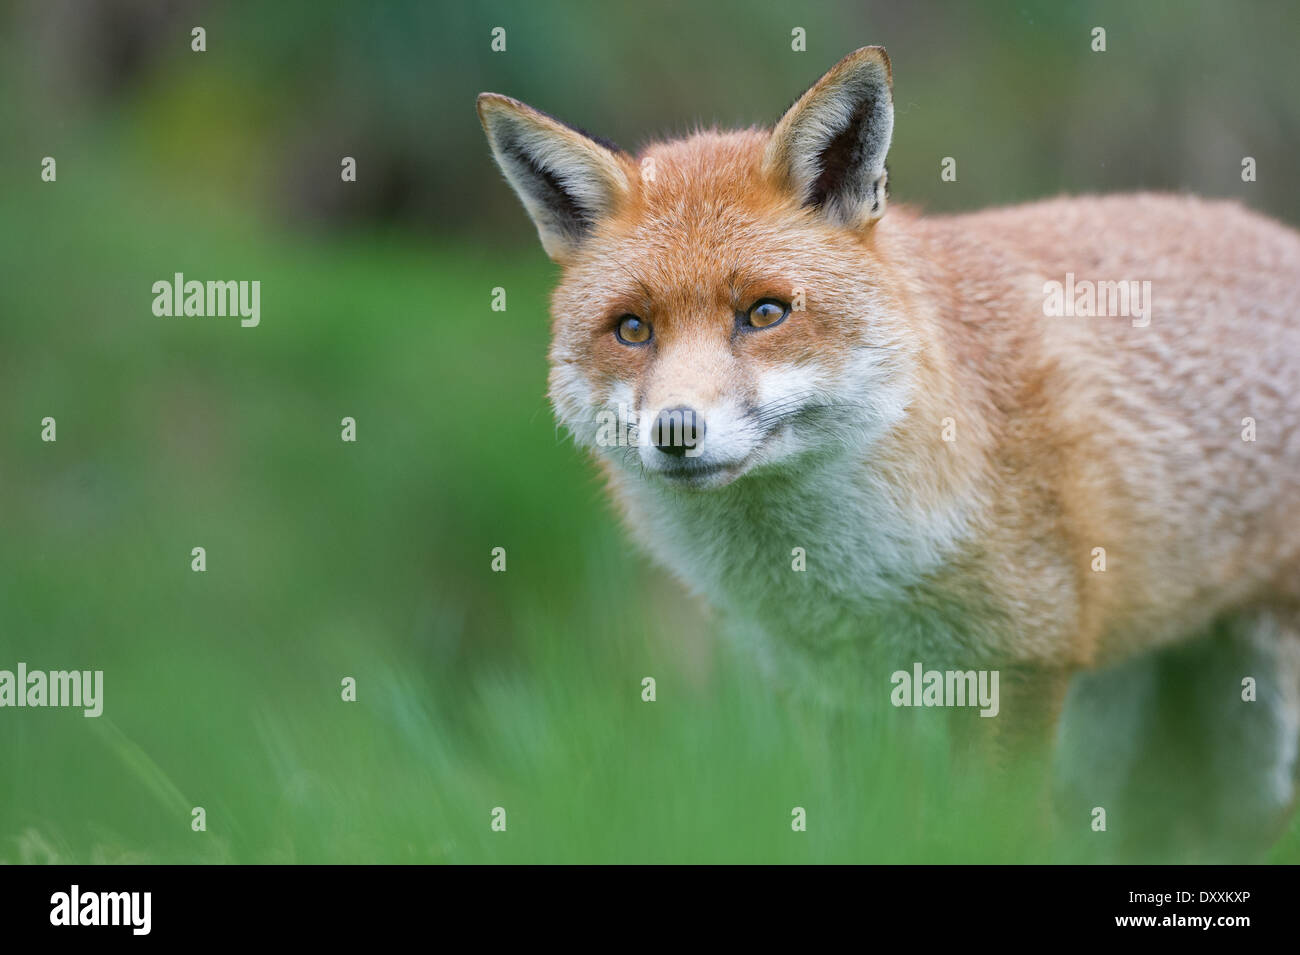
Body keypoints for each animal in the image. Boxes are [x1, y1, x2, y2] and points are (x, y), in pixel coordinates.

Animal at [483, 48, 1300, 857]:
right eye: (632, 329)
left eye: (765, 314)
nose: (677, 431)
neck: (838, 581)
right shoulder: (833, 689)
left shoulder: (1020, 663)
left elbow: (992, 826)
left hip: (1251, 733)